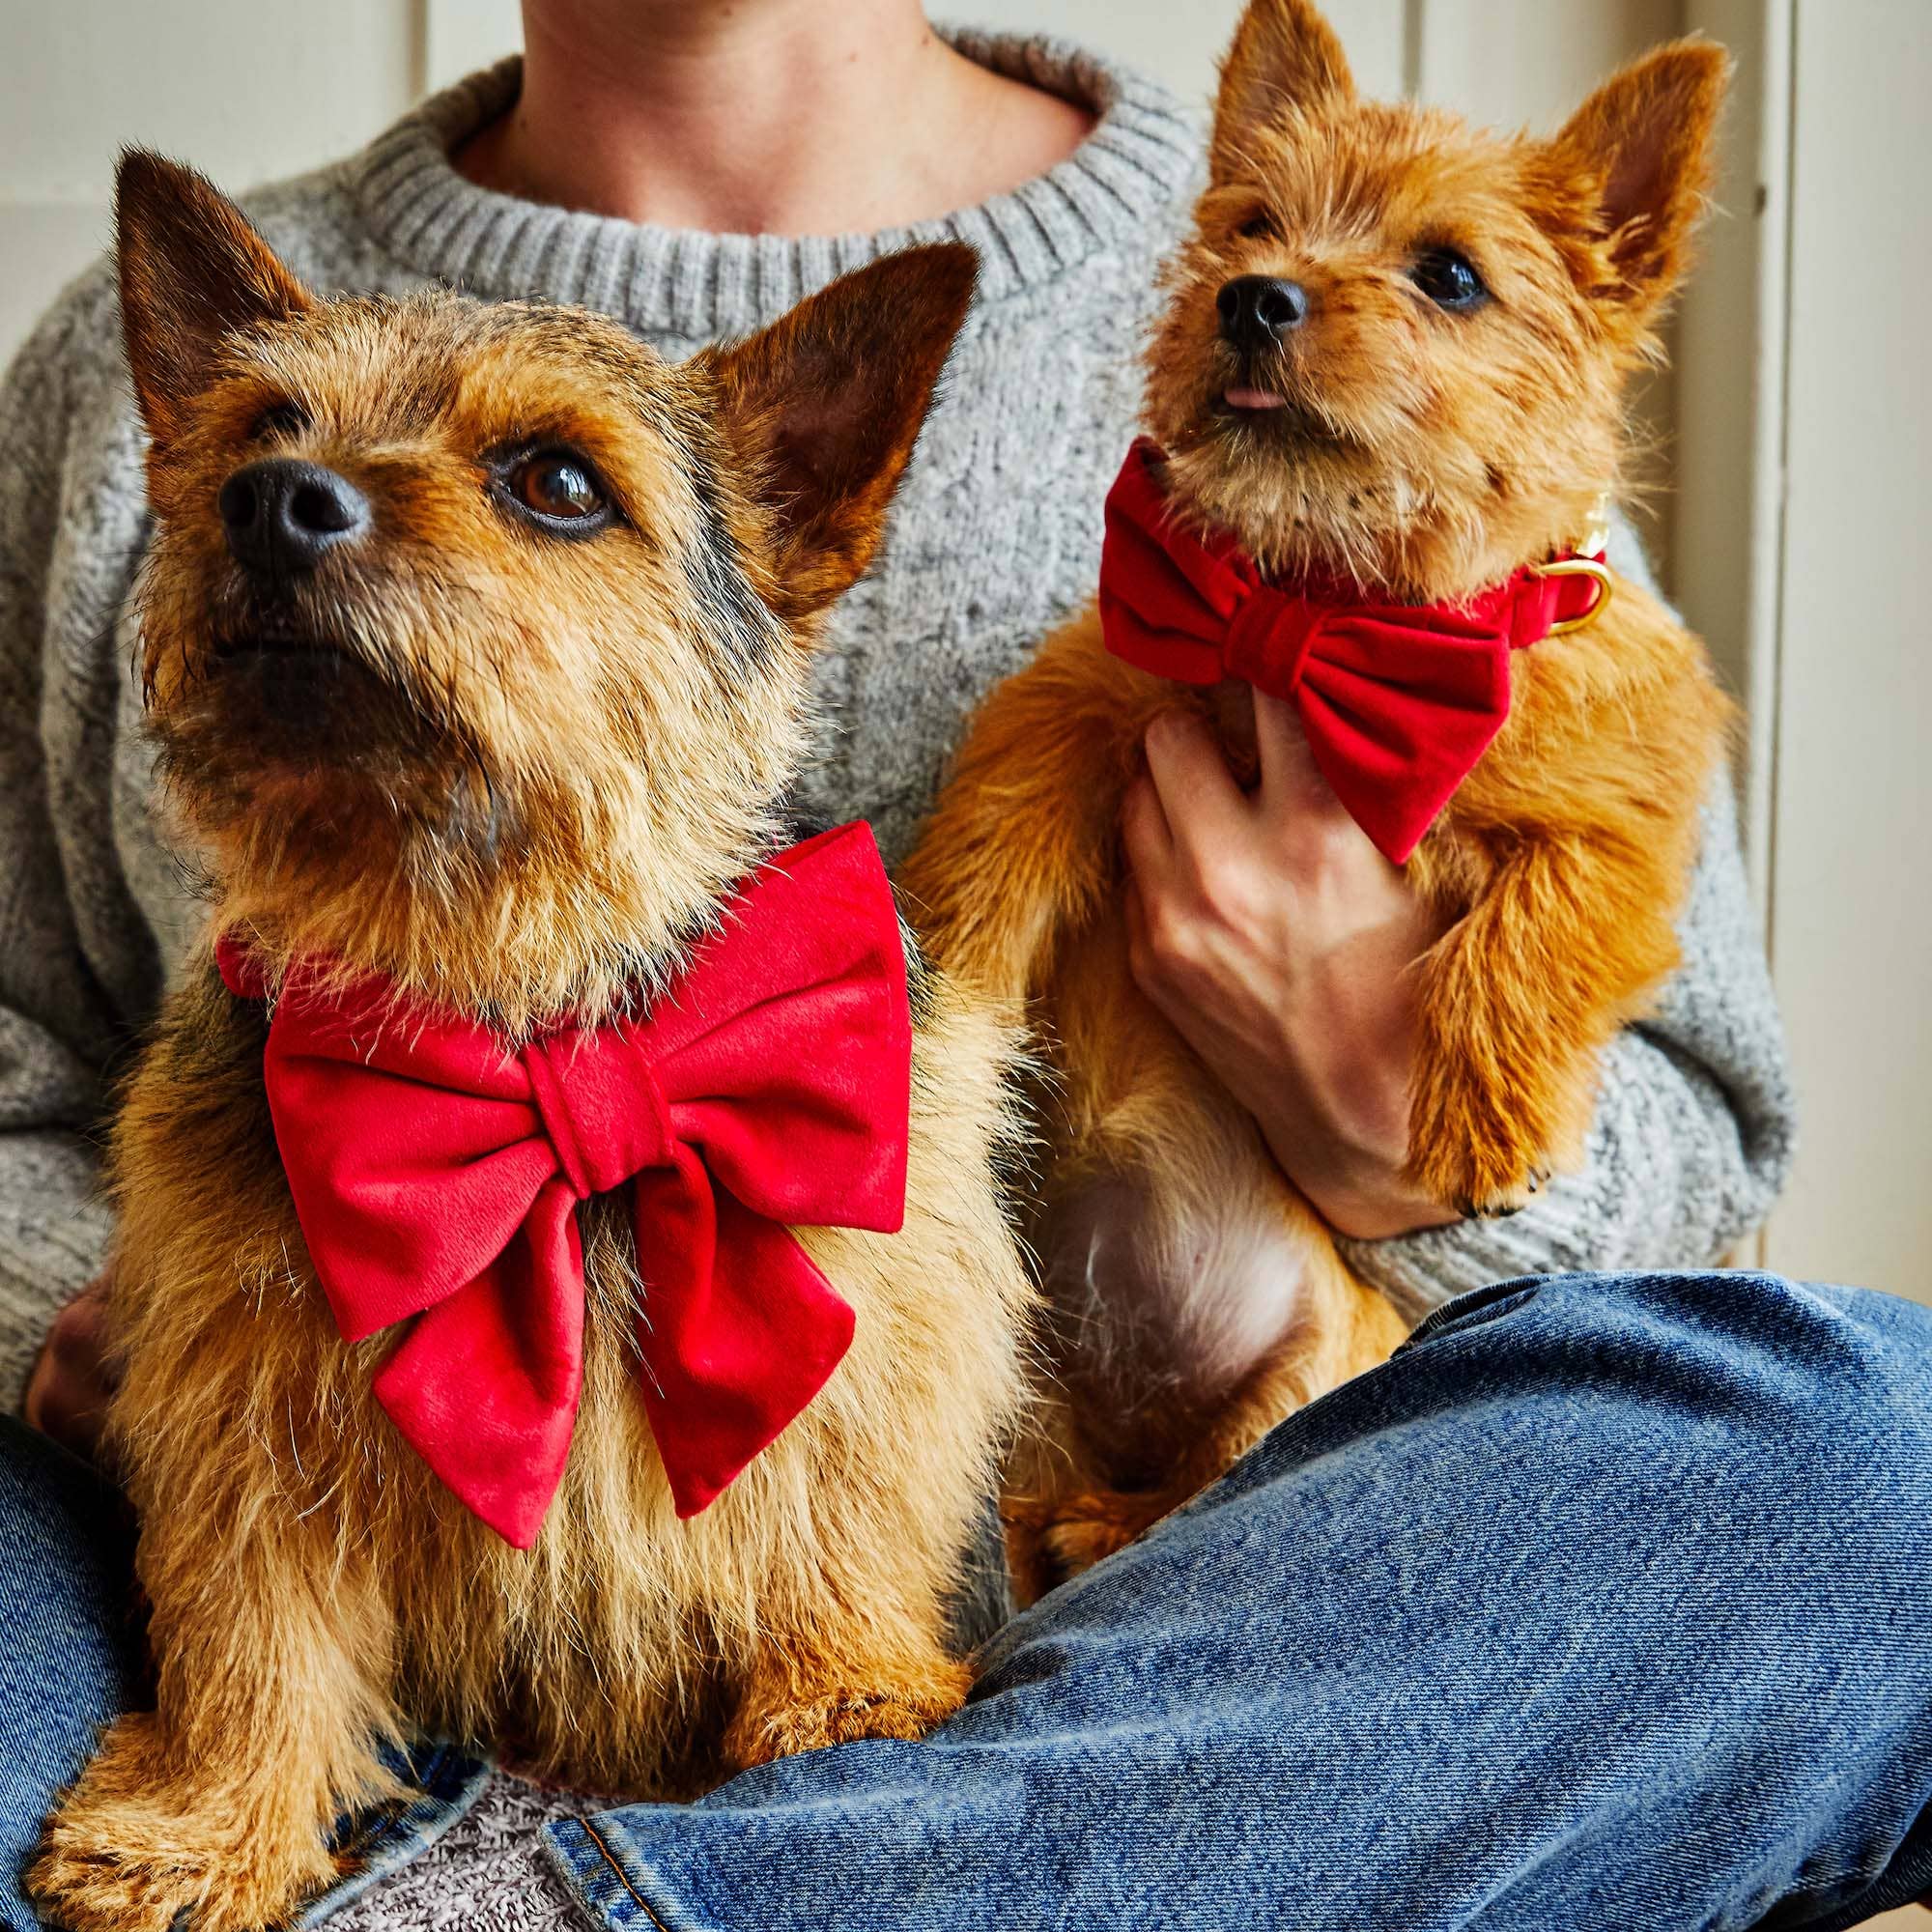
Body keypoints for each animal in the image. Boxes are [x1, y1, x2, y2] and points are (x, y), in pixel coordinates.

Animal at [30, 155, 1036, 1932]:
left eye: (558, 483)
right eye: (261, 425)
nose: (274, 499)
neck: (510, 996)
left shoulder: (880, 1290)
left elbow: (836, 1506)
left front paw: (844, 1696)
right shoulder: (248, 1396)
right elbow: (248, 1627)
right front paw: (207, 1826)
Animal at [896, 0, 1731, 1600]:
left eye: (1450, 275)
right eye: (1249, 226)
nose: (1255, 300)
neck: (1328, 607)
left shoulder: (1622, 825)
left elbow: (1542, 915)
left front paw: (1487, 1116)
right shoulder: (1093, 693)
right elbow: (993, 836)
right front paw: (945, 1004)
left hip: (1299, 1367)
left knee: (1210, 1483)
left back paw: (1119, 1524)